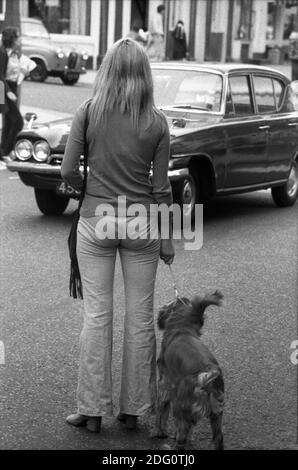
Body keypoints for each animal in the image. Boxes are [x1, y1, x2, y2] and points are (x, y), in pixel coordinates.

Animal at [154, 292, 224, 450]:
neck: (182, 328)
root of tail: (206, 375)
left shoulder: (164, 383)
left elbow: (162, 411)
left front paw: (159, 432)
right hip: (216, 414)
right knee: (218, 438)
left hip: (180, 406)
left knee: (181, 436)